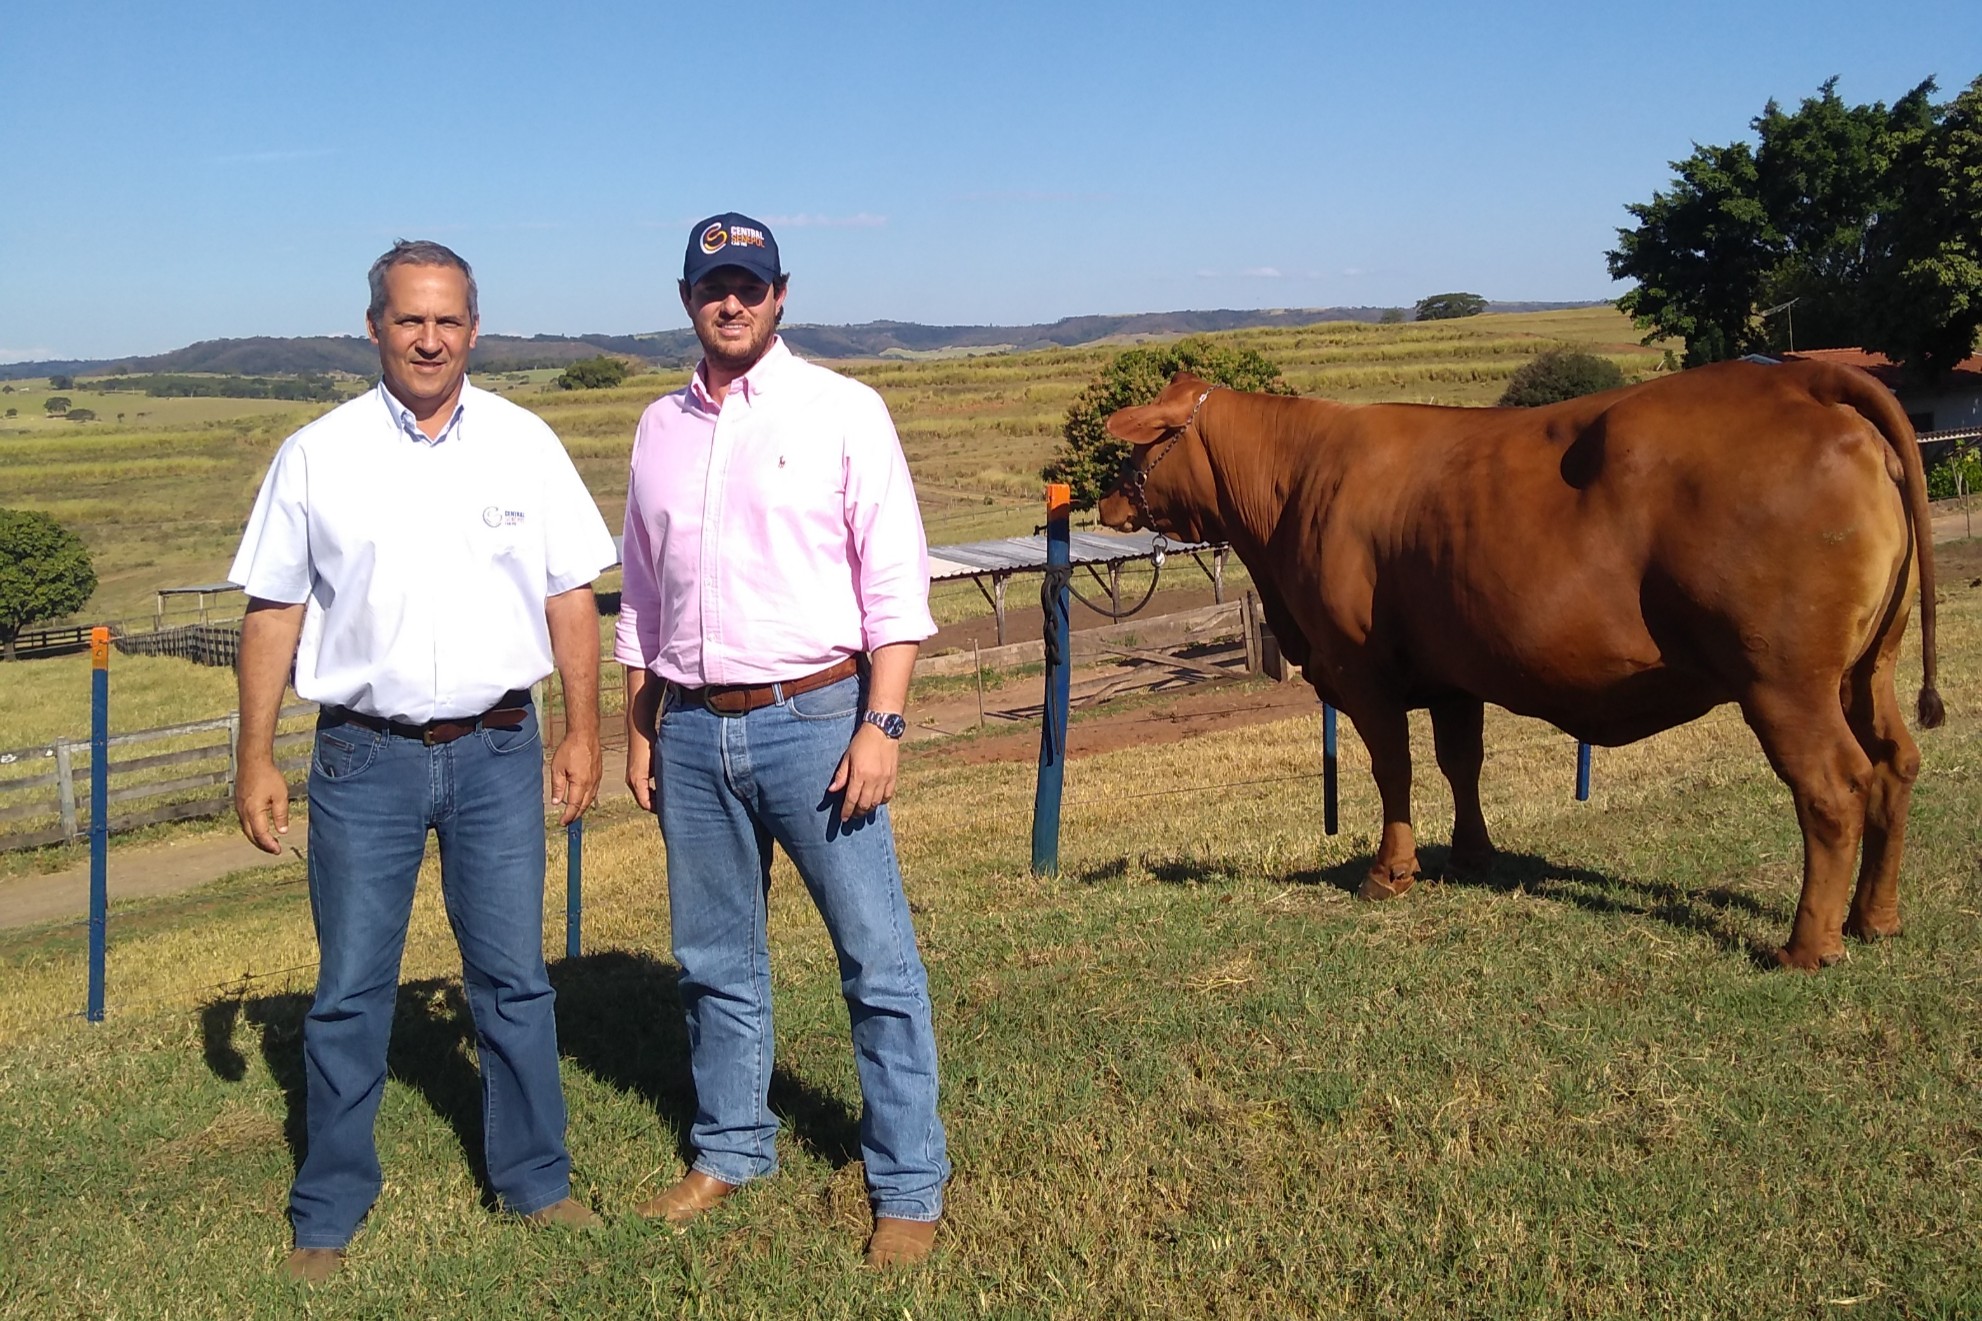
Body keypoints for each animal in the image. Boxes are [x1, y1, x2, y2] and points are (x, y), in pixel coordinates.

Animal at [1109, 360, 1942, 967]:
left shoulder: (1359, 668)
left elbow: (1393, 768)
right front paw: (1472, 855)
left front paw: (1389, 872)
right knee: (1894, 764)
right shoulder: (1453, 673)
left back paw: (1807, 945)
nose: (1109, 501)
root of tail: (1802, 376)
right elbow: (1461, 761)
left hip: (1783, 680)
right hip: (1868, 667)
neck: (1297, 481)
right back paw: (1876, 918)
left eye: (1142, 443)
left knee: (1832, 787)